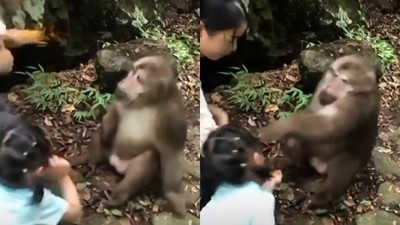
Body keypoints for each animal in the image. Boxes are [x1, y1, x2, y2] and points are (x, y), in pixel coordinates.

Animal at [70, 55, 188, 215]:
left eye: (138, 78)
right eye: (132, 72)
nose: (123, 82)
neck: (148, 103)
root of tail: (113, 162)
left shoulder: (174, 120)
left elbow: (171, 154)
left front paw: (174, 197)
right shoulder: (123, 99)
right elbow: (113, 115)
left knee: (147, 157)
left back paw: (118, 196)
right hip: (109, 150)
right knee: (102, 136)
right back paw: (92, 160)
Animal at [260, 55, 382, 207]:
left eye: (343, 80)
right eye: (334, 75)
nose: (329, 87)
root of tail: (319, 166)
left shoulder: (356, 104)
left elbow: (328, 126)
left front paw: (271, 130)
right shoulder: (322, 83)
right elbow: (310, 113)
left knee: (345, 162)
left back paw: (321, 197)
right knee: (294, 140)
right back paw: (292, 163)